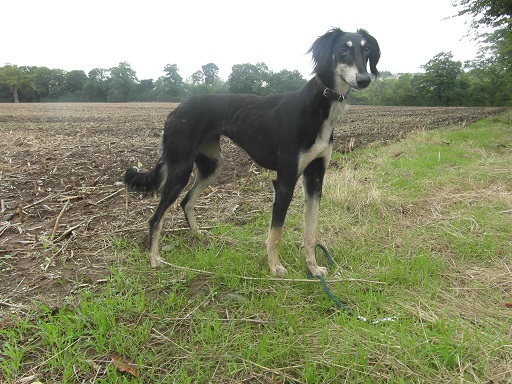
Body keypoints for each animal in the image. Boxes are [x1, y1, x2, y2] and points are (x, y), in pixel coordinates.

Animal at [124, 28, 380, 278]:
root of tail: (175, 110)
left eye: (366, 49)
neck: (318, 108)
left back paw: (197, 235)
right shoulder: (285, 180)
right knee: (155, 218)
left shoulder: (315, 177)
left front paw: (313, 269)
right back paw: (154, 259)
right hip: (180, 168)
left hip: (211, 165)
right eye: (343, 49)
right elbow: (276, 231)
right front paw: (275, 267)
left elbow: (311, 231)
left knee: (186, 201)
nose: (364, 80)